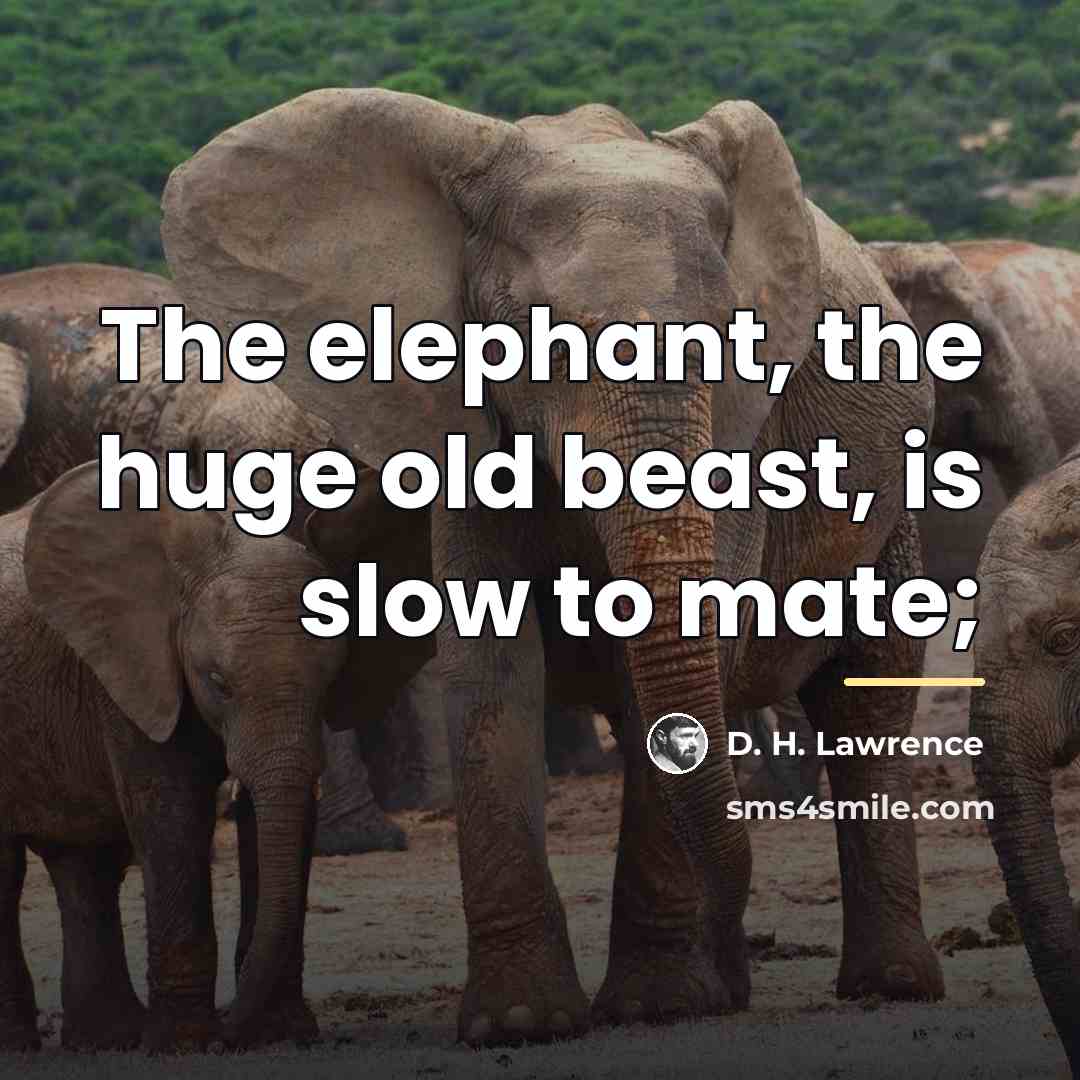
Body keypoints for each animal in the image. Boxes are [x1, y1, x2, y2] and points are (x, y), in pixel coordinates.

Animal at [0, 460, 360, 1051]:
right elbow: (171, 810)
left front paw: (280, 1034)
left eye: (333, 680)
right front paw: (185, 1044)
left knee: (85, 863)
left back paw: (107, 1039)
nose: (230, 1028)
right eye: (218, 683)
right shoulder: (127, 665)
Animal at [162, 87, 945, 1046]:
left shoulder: (745, 433)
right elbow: (491, 666)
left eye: (734, 340)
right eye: (546, 345)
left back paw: (885, 984)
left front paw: (655, 1006)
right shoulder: (459, 421)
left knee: (868, 689)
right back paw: (732, 988)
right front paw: (522, 1020)